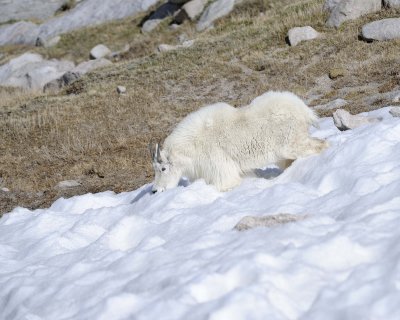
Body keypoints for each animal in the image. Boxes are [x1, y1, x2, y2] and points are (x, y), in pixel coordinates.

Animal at [150, 91, 328, 194]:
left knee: (320, 145)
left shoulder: (220, 167)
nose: (155, 191)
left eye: (163, 168)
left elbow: (226, 184)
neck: (192, 146)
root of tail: (305, 111)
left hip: (290, 143)